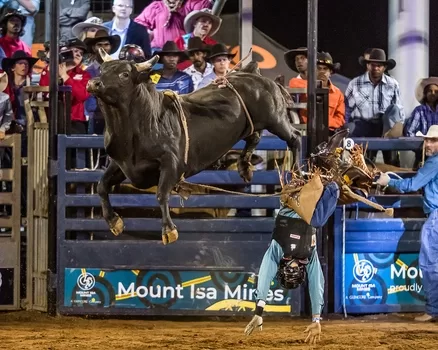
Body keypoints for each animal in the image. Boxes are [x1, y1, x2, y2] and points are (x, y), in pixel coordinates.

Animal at [87, 52, 302, 245]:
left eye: (124, 74)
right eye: (102, 69)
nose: (94, 83)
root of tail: (252, 73)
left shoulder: (172, 164)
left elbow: (161, 193)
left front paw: (169, 230)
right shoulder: (122, 164)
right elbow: (102, 185)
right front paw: (114, 222)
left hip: (276, 119)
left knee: (295, 138)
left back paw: (298, 176)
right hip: (251, 125)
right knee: (254, 137)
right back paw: (244, 167)